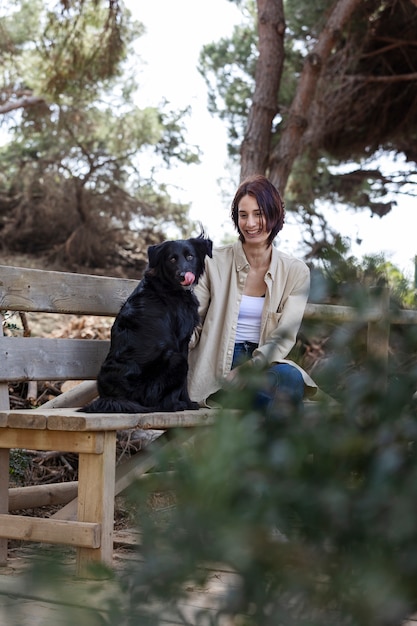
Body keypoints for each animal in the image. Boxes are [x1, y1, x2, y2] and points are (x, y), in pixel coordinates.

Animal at [81, 232, 211, 412]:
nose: (183, 276)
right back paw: (175, 405)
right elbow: (183, 383)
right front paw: (188, 403)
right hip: (175, 359)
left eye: (190, 256)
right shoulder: (181, 341)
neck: (167, 285)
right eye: (172, 259)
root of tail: (114, 398)